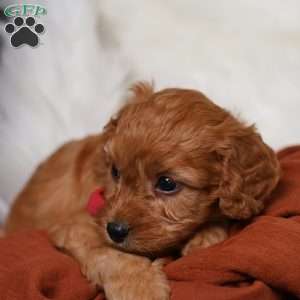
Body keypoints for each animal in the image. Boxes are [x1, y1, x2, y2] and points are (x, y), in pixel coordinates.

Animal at [5, 82, 282, 300]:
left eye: (167, 183)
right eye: (115, 172)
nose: (115, 230)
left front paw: (204, 240)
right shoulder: (75, 226)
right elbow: (108, 254)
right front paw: (141, 288)